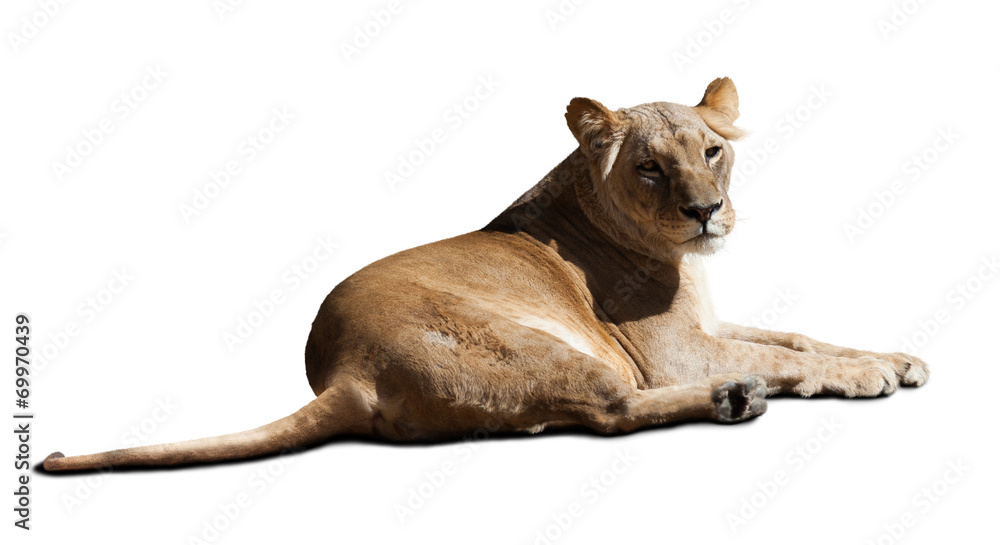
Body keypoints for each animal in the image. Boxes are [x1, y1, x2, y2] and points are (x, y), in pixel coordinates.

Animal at [43, 77, 928, 471]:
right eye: (650, 167)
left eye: (711, 150)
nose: (707, 211)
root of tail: (343, 371)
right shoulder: (675, 351)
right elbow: (782, 354)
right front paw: (867, 375)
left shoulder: (712, 326)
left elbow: (797, 334)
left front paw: (897, 356)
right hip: (554, 349)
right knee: (610, 411)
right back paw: (733, 399)